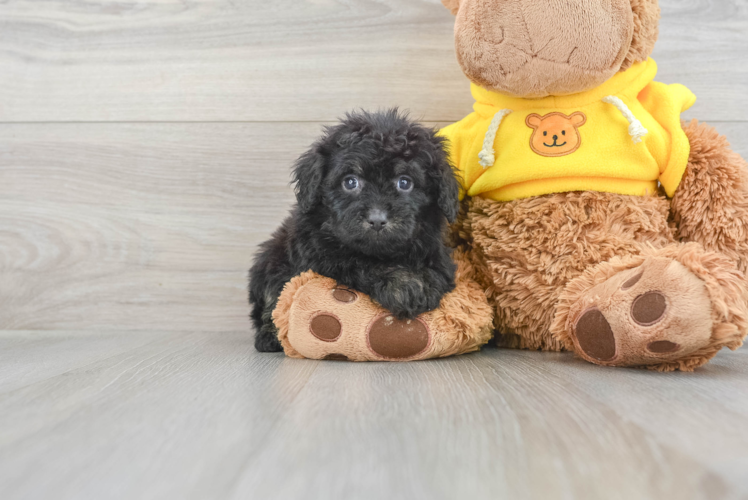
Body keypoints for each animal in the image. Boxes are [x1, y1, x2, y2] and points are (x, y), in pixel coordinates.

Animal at [248, 109, 458, 352]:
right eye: (350, 182)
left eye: (405, 183)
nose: (377, 220)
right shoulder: (321, 254)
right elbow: (361, 262)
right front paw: (404, 285)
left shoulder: (438, 254)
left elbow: (436, 272)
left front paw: (419, 284)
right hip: (271, 259)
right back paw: (269, 336)